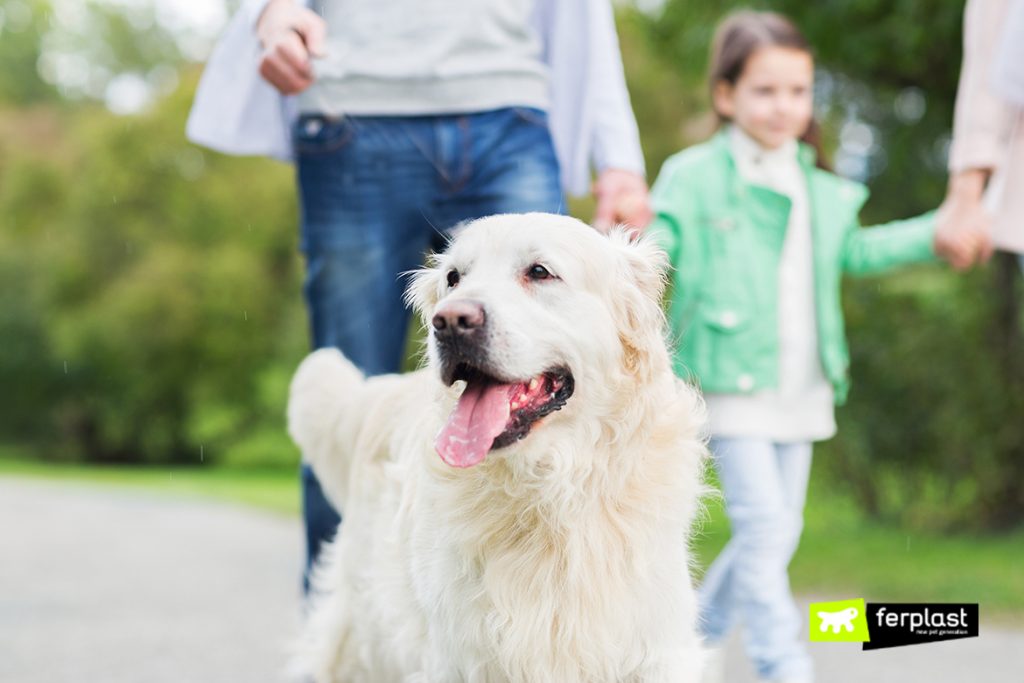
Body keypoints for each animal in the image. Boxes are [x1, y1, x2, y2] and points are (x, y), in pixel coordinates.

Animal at [286, 215, 704, 683]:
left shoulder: (655, 649)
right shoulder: (460, 658)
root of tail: (384, 391)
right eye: (453, 278)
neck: (548, 493)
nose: (449, 321)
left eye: (539, 271)